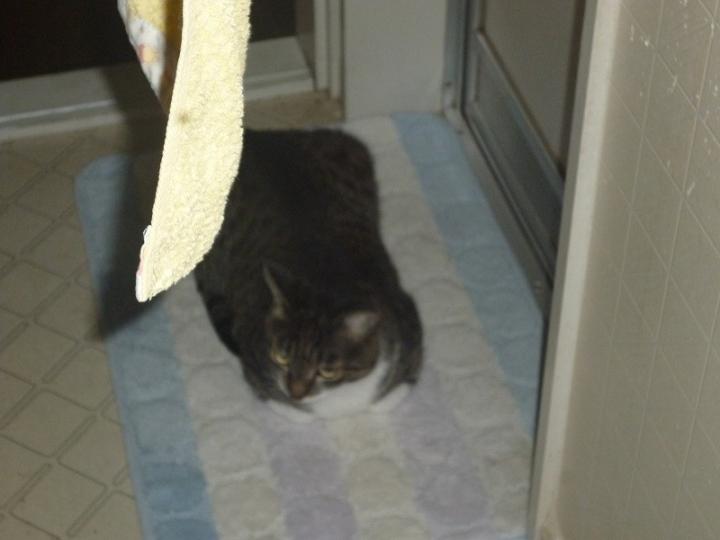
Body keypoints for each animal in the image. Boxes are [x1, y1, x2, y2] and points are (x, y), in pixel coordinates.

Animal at [194, 128, 422, 416]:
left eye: (327, 371)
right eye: (282, 356)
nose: (296, 393)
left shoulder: (408, 324)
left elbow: (396, 390)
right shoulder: (251, 341)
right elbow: (283, 405)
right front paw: (291, 407)